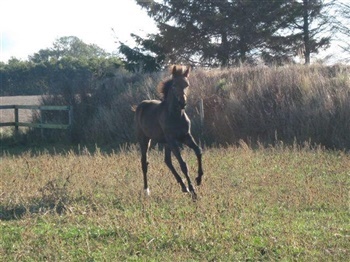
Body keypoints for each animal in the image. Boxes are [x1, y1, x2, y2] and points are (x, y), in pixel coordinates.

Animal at [135, 65, 204, 199]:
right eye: (174, 85)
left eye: (187, 84)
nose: (182, 103)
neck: (175, 115)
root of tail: (140, 105)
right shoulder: (173, 140)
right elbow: (183, 164)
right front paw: (193, 192)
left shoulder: (185, 136)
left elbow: (198, 151)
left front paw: (198, 179)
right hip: (144, 139)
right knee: (144, 162)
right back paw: (147, 191)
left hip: (166, 143)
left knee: (167, 161)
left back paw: (183, 186)